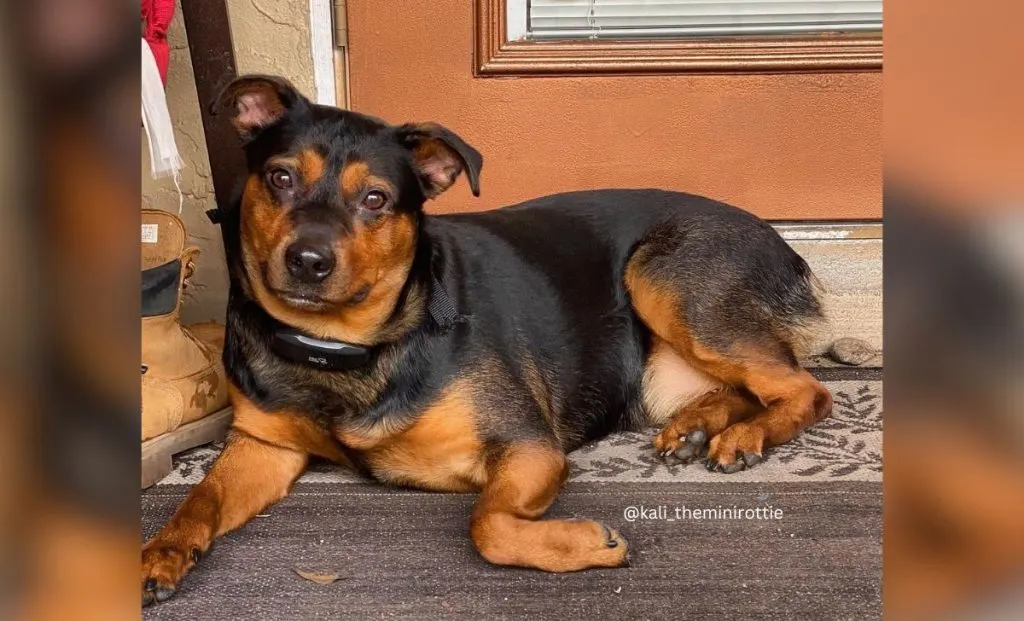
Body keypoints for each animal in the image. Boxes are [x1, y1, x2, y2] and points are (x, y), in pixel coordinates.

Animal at [142, 75, 831, 606]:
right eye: (281, 178)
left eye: (376, 199)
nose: (307, 260)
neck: (340, 349)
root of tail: (780, 240)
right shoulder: (262, 446)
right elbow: (198, 500)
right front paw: (159, 553)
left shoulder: (527, 446)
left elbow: (487, 525)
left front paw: (584, 542)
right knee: (751, 384)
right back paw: (697, 426)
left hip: (663, 278)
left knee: (806, 388)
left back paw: (741, 436)